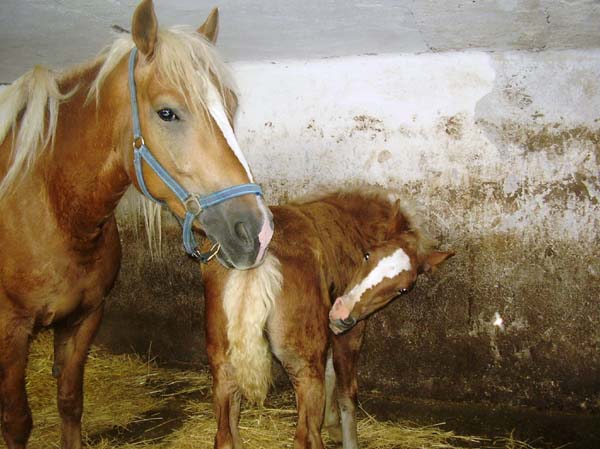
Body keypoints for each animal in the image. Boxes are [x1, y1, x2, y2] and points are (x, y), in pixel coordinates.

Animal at [0, 1, 274, 446]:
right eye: (167, 113)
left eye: (230, 106)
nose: (259, 231)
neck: (55, 210)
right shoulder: (11, 331)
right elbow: (16, 422)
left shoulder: (85, 318)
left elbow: (70, 401)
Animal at [204, 191, 452, 446]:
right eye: (367, 255)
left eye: (403, 289)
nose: (342, 314)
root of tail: (258, 263)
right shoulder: (350, 334)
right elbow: (347, 392)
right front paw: (349, 440)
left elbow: (332, 373)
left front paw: (332, 425)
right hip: (303, 364)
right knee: (305, 436)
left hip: (223, 359)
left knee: (225, 430)